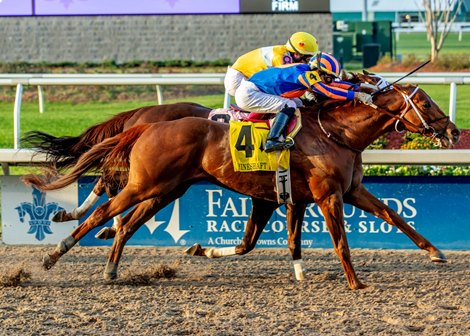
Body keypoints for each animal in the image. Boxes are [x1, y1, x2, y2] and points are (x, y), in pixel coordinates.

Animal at [23, 83, 458, 288]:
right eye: (427, 103)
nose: (453, 130)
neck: (335, 133)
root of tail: (147, 122)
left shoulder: (332, 193)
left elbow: (393, 215)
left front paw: (436, 252)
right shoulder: (326, 195)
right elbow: (340, 242)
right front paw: (355, 282)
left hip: (164, 190)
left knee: (126, 223)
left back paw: (111, 267)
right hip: (144, 184)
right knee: (103, 209)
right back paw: (55, 252)